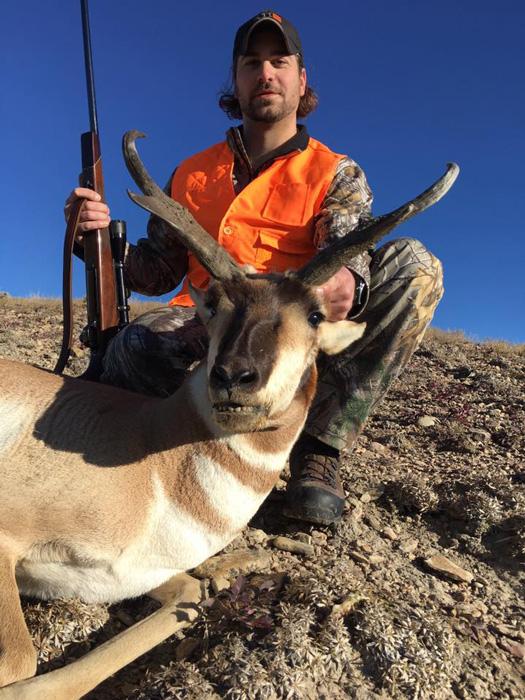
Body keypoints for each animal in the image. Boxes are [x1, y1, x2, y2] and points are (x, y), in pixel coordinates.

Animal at [0, 131, 458, 697]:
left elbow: (190, 599)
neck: (160, 464)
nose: (234, 377)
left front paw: (231, 568)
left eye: (314, 314)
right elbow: (24, 666)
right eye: (215, 305)